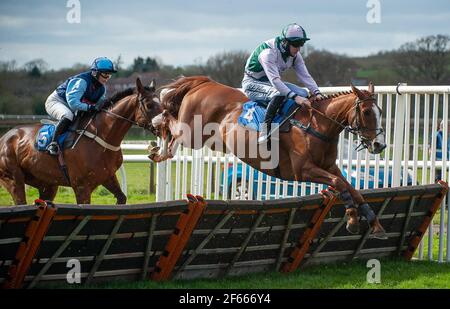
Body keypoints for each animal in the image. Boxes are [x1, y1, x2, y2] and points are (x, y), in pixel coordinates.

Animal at [0, 77, 162, 205]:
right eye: (149, 105)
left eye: (160, 102)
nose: (165, 125)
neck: (101, 136)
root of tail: (4, 137)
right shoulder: (82, 187)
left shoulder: (108, 177)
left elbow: (121, 198)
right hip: (13, 179)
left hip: (47, 184)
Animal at [150, 75, 386, 238]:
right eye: (366, 112)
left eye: (380, 112)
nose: (379, 144)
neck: (317, 125)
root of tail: (203, 83)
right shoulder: (303, 171)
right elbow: (339, 184)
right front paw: (353, 218)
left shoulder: (330, 167)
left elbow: (352, 188)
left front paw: (374, 222)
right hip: (192, 133)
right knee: (169, 120)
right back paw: (158, 140)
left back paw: (159, 147)